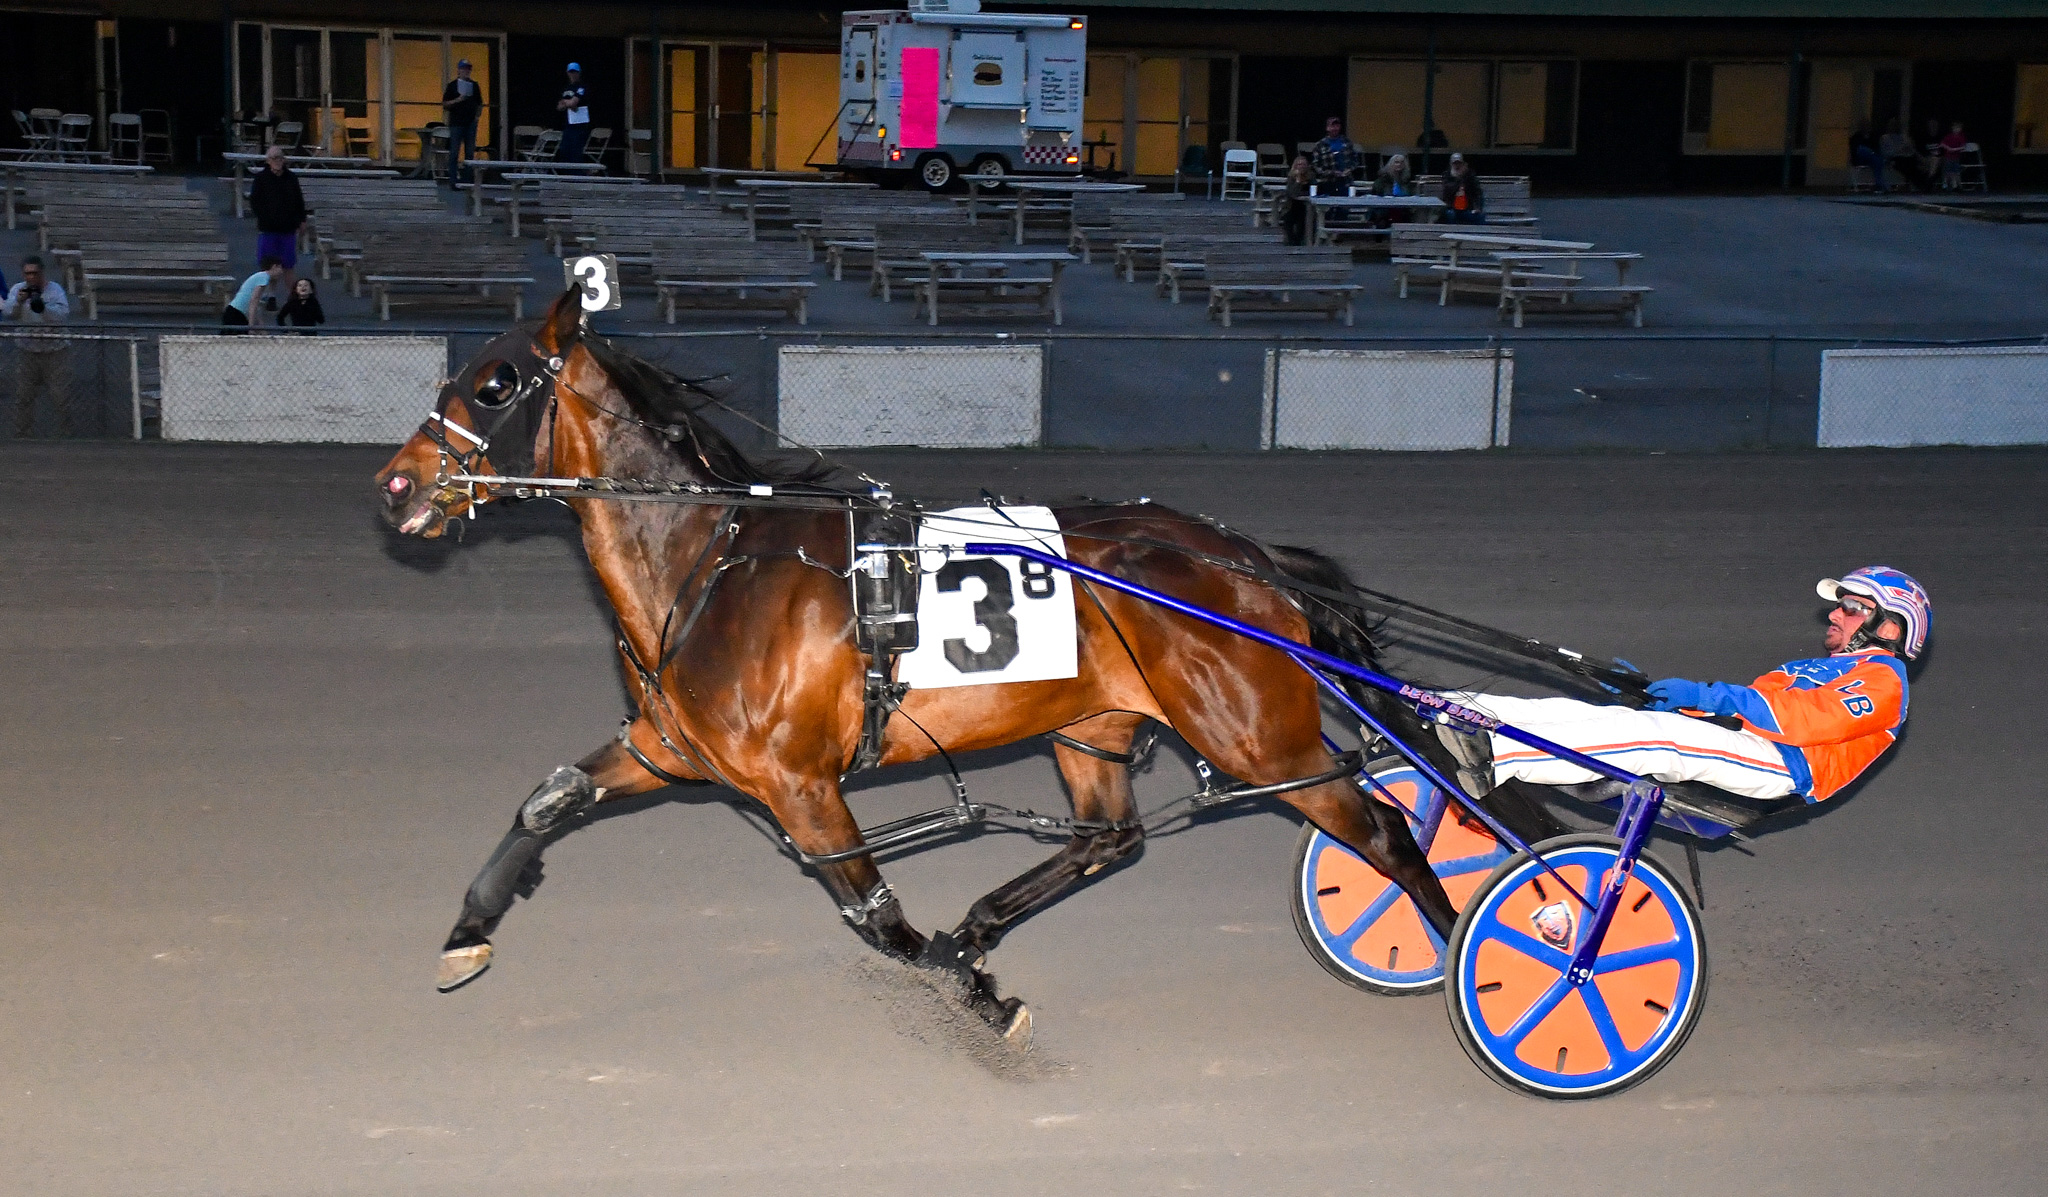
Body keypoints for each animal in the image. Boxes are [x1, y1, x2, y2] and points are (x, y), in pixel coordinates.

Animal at [374, 289, 1544, 1039]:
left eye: (494, 383)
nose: (394, 486)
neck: (708, 558)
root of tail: (1246, 557)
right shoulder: (670, 749)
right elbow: (547, 801)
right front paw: (468, 932)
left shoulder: (802, 786)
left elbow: (879, 920)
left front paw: (978, 992)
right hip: (1094, 727)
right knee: (1110, 839)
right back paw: (984, 922)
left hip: (1262, 740)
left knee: (1385, 828)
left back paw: (1497, 952)